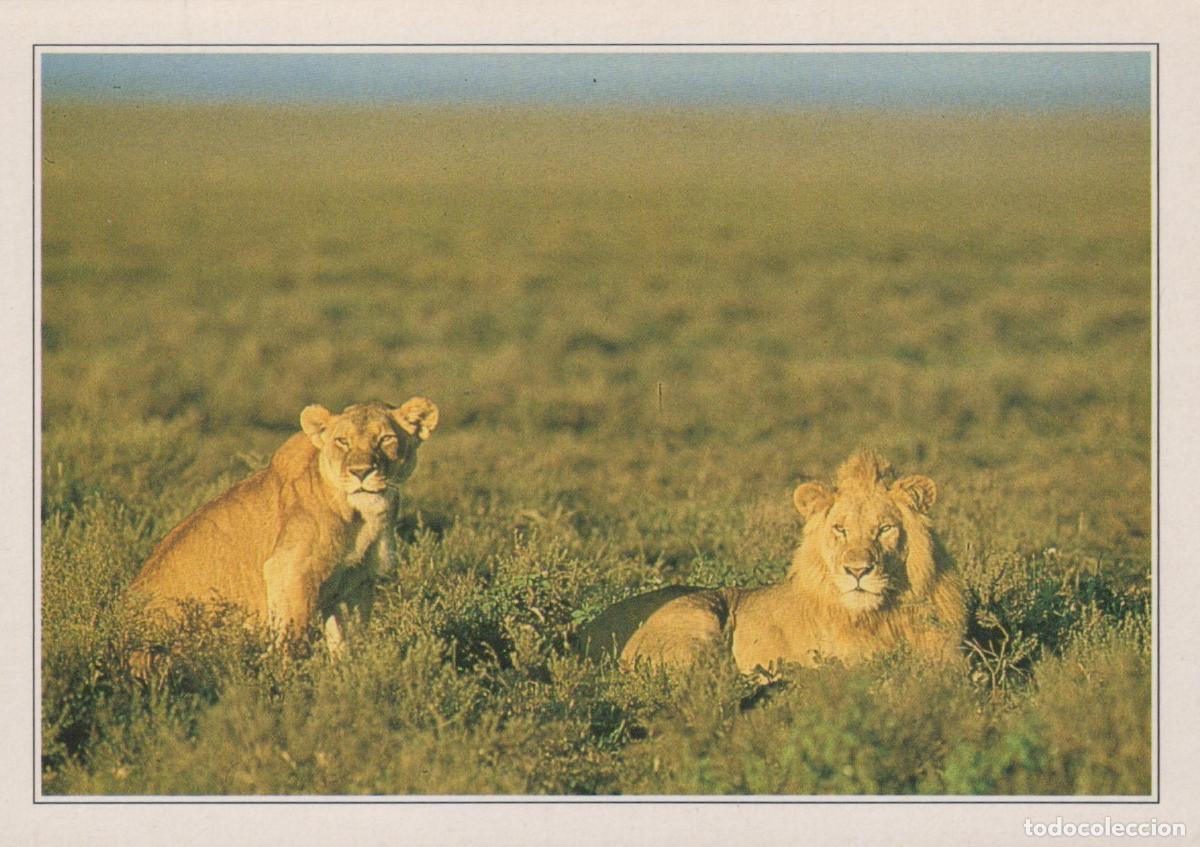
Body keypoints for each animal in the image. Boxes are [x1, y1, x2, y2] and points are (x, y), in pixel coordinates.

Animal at [126, 397, 439, 656]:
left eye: (386, 438)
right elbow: (292, 639)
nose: (361, 472)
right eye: (342, 441)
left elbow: (348, 643)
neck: (362, 515)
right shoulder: (289, 570)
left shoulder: (355, 582)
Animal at [576, 450, 965, 678]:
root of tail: (582, 632)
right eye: (840, 530)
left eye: (884, 529)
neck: (885, 614)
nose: (857, 571)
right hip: (698, 621)